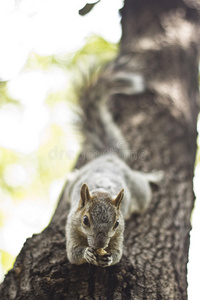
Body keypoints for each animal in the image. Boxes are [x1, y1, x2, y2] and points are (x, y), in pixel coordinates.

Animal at [65, 65, 162, 268]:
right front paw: (87, 253)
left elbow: (117, 254)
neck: (102, 191)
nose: (100, 245)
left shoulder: (119, 233)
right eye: (85, 220)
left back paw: (151, 177)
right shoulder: (71, 225)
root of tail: (109, 157)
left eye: (116, 223)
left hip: (141, 194)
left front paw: (109, 257)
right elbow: (73, 254)